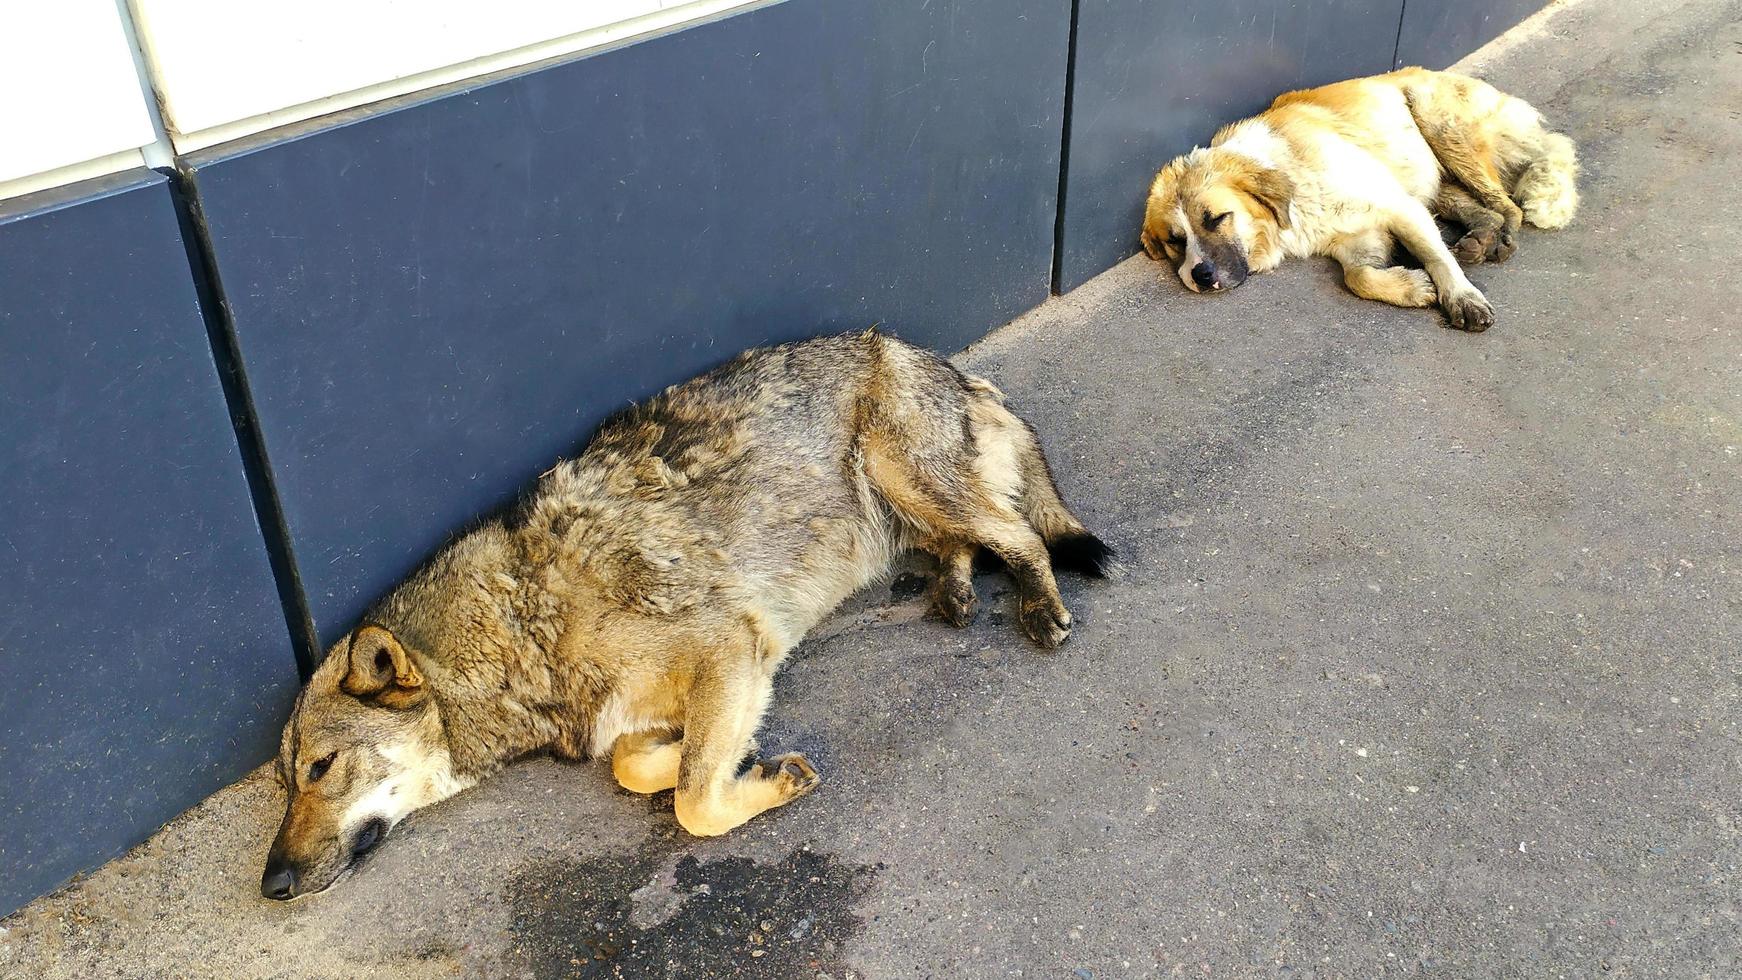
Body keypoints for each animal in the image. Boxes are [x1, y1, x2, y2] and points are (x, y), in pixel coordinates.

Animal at [1142, 67, 1581, 334]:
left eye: (1215, 218)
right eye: (1175, 242)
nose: (1199, 276)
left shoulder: (1400, 207)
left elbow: (1436, 257)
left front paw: (1461, 296)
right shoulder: (1358, 238)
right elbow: (1359, 277)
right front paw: (1414, 286)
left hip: (1436, 120)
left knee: (1509, 205)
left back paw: (1502, 238)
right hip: (1436, 182)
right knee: (1481, 208)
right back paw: (1479, 239)